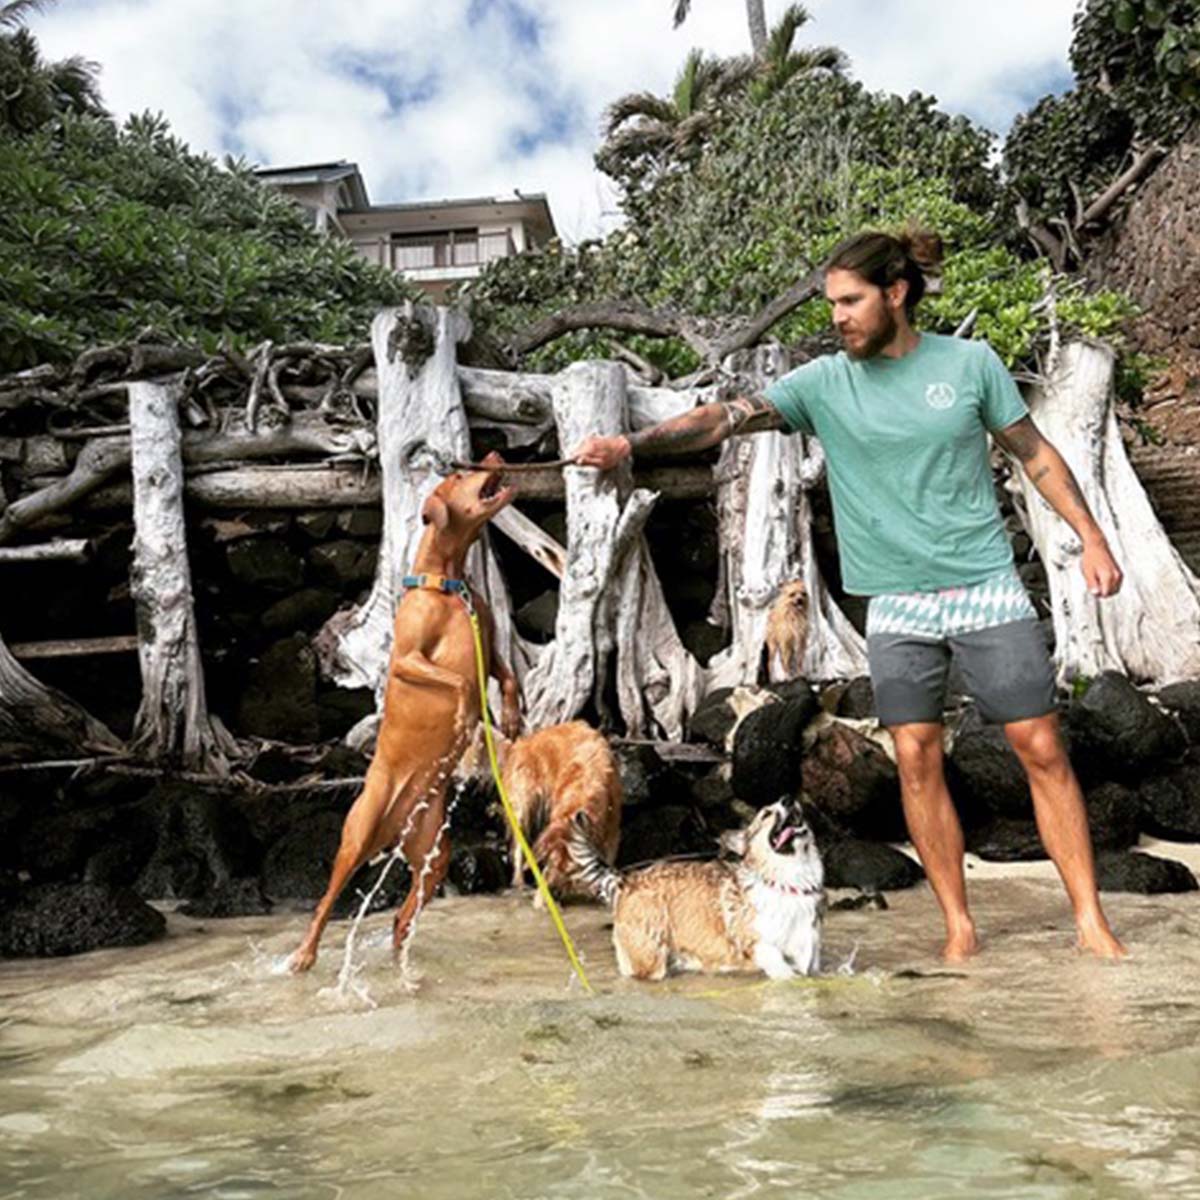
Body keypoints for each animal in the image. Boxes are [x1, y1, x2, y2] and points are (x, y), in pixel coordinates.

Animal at [290, 453, 520, 969]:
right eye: (460, 476)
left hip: (435, 850)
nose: (493, 456)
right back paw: (304, 955)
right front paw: (464, 717)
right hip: (357, 834)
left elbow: (509, 677)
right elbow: (459, 682)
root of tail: (397, 827)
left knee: (406, 908)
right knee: (325, 903)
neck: (449, 584)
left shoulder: (490, 644)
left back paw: (400, 944)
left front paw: (513, 717)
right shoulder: (407, 660)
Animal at [573, 796, 825, 984]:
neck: (787, 882)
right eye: (766, 814)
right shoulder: (761, 947)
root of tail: (624, 881)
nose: (789, 798)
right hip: (649, 962)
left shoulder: (809, 955)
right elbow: (783, 970)